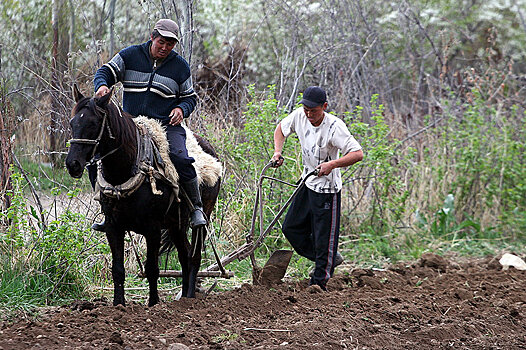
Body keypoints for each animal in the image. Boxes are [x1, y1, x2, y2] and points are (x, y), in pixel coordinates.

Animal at [65, 85, 221, 306]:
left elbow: (152, 269)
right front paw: (119, 305)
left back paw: (189, 297)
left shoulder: (152, 229)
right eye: (73, 122)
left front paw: (153, 304)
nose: (73, 164)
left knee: (194, 256)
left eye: (93, 123)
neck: (126, 169)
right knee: (185, 256)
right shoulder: (113, 226)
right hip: (177, 226)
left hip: (201, 220)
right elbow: (118, 270)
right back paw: (183, 298)